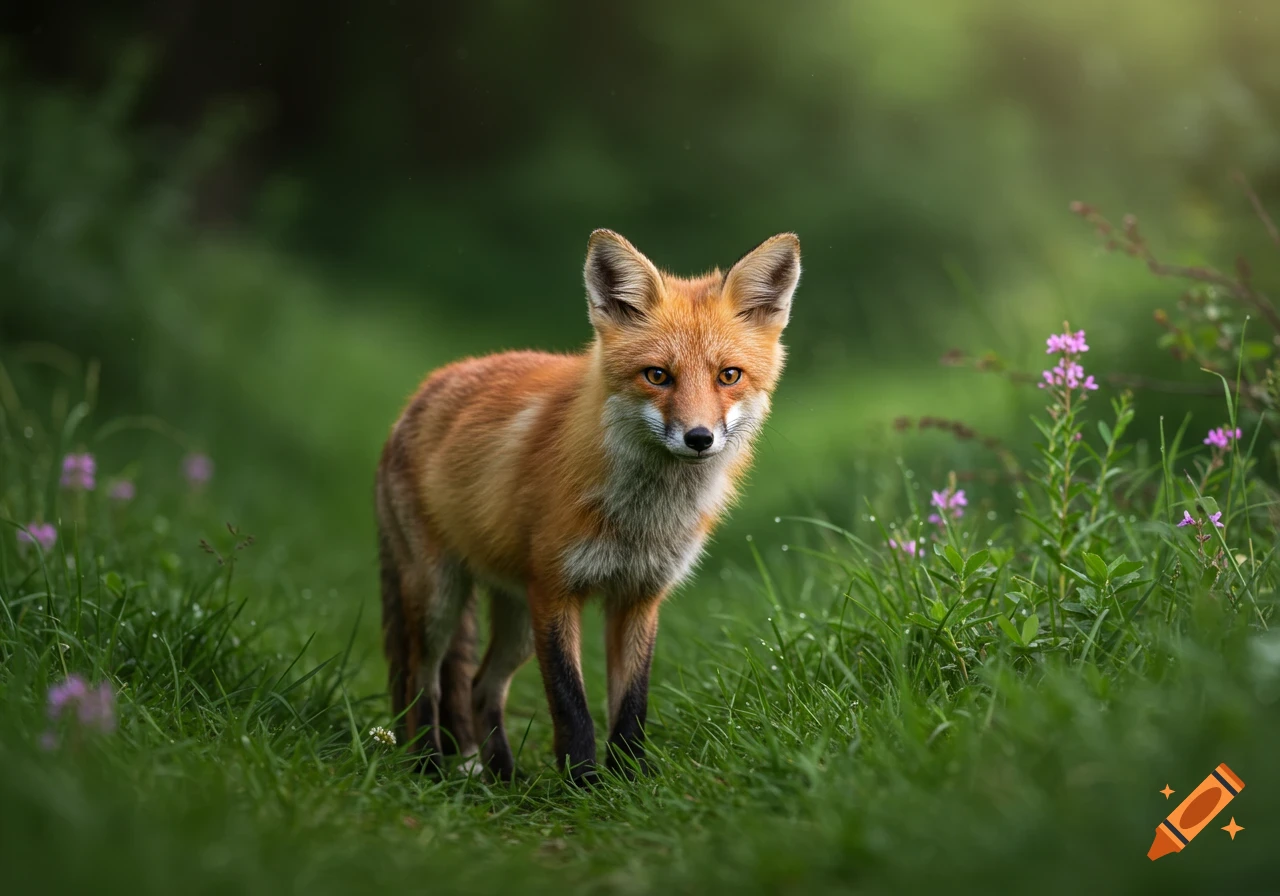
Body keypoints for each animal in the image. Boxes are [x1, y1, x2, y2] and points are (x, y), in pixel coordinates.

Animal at [375, 229, 801, 784]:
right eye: (657, 376)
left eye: (729, 375)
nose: (699, 438)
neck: (640, 519)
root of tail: (419, 395)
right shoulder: (556, 591)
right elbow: (570, 704)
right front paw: (582, 783)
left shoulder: (640, 596)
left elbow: (632, 703)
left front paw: (630, 779)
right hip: (441, 598)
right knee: (423, 681)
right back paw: (427, 765)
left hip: (516, 618)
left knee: (479, 685)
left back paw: (503, 778)